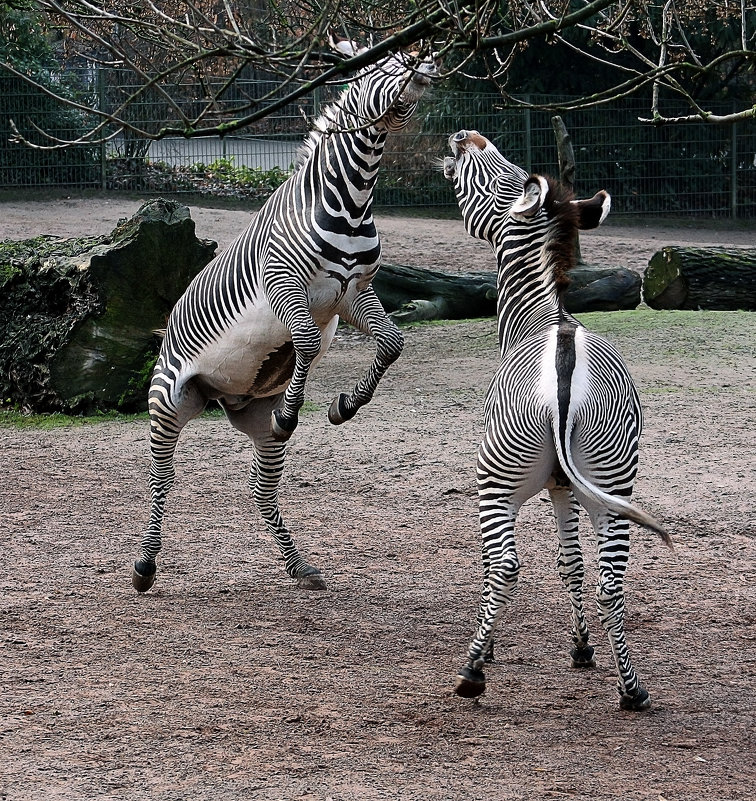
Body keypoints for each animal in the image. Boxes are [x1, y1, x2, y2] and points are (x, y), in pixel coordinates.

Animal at [131, 48, 438, 588]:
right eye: (378, 64)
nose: (424, 64)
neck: (351, 202)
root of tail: (221, 396)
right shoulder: (283, 285)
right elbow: (309, 344)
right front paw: (294, 413)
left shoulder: (353, 294)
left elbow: (391, 343)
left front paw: (345, 406)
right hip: (169, 398)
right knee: (161, 476)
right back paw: (145, 565)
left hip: (250, 413)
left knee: (261, 488)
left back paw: (299, 565)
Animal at [442, 131, 672, 712]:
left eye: (499, 173)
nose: (462, 136)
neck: (543, 318)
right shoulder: (564, 486)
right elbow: (571, 562)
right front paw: (582, 648)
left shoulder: (530, 486)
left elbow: (493, 565)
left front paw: (490, 650)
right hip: (612, 481)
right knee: (611, 577)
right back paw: (631, 688)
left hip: (497, 480)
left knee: (504, 565)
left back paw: (470, 673)